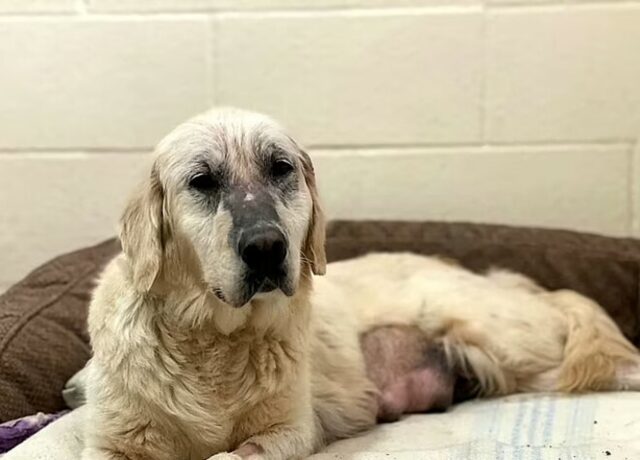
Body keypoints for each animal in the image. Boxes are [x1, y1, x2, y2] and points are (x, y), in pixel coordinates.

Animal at [82, 108, 640, 460]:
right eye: (202, 181)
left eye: (280, 168)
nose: (266, 248)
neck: (214, 341)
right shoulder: (111, 444)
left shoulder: (289, 430)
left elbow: (235, 455)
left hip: (514, 349)